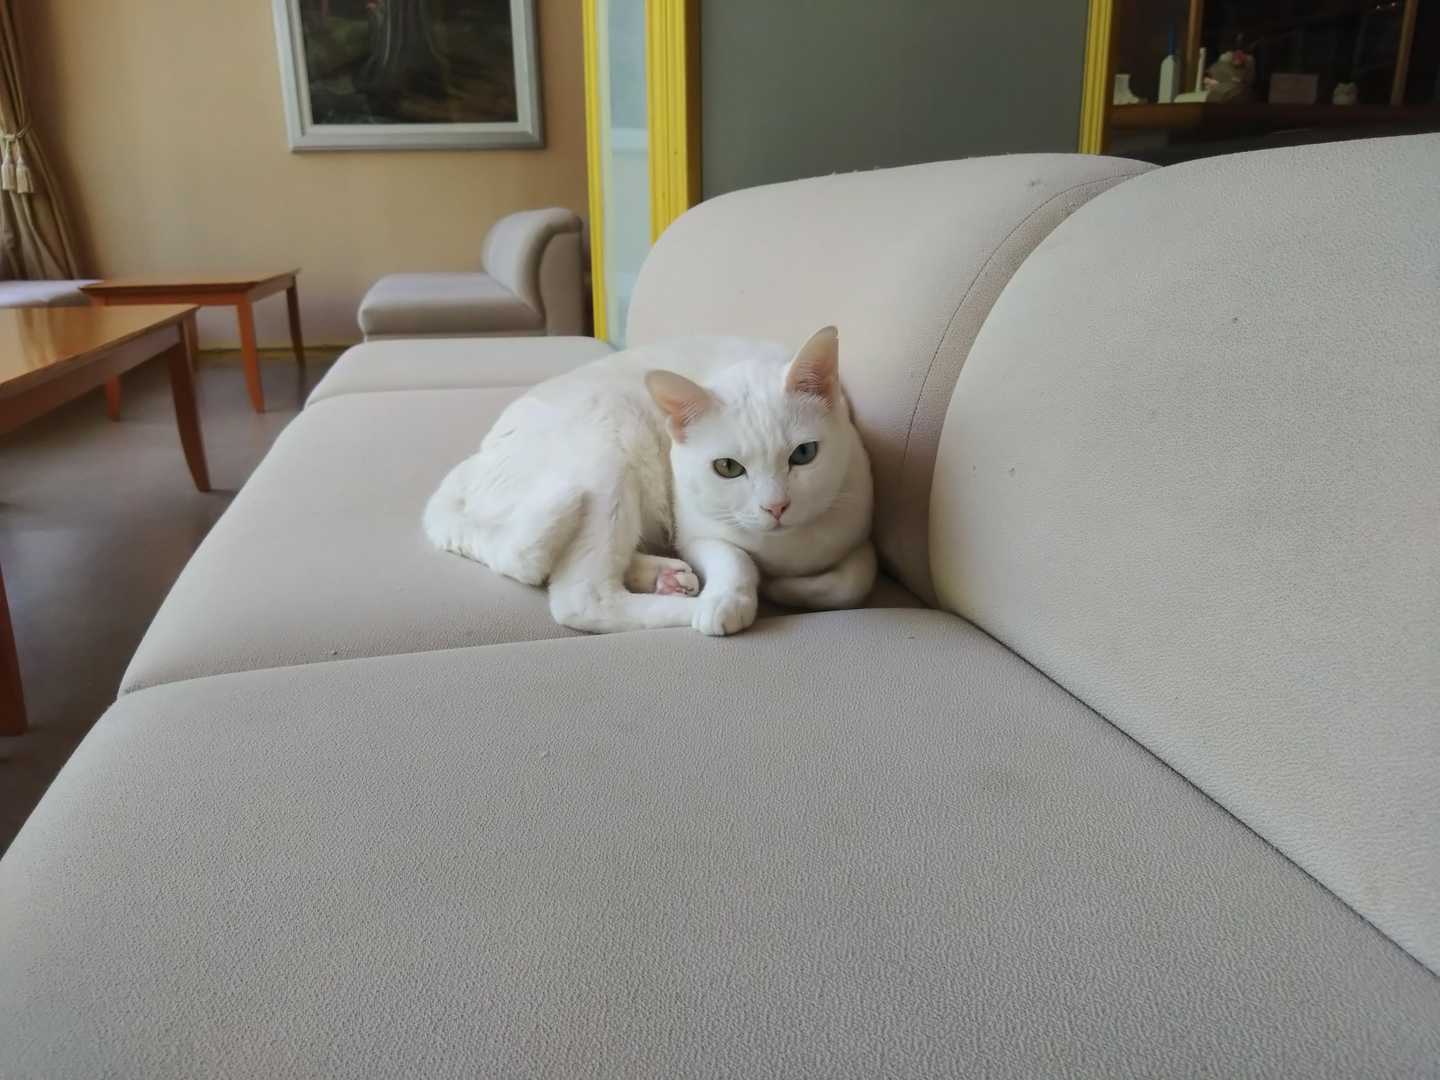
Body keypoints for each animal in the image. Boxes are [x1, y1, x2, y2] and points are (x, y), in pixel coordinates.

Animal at [423, 326, 875, 636]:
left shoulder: (860, 533)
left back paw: (666, 577)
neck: (783, 551)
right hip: (612, 445)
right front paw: (730, 599)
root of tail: (468, 468)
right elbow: (735, 559)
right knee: (583, 597)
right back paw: (691, 606)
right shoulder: (697, 535)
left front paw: (785, 588)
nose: (776, 506)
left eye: (804, 455)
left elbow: (853, 581)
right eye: (728, 468)